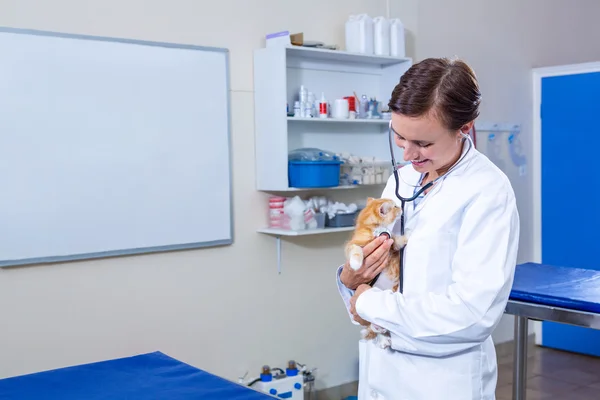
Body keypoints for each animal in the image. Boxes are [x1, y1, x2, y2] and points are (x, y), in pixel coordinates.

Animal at [344, 198, 406, 348]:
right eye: (395, 207)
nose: (401, 207)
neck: (373, 229)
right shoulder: (352, 245)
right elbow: (355, 250)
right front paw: (356, 263)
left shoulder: (390, 242)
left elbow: (396, 240)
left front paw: (406, 236)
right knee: (371, 326)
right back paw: (380, 333)